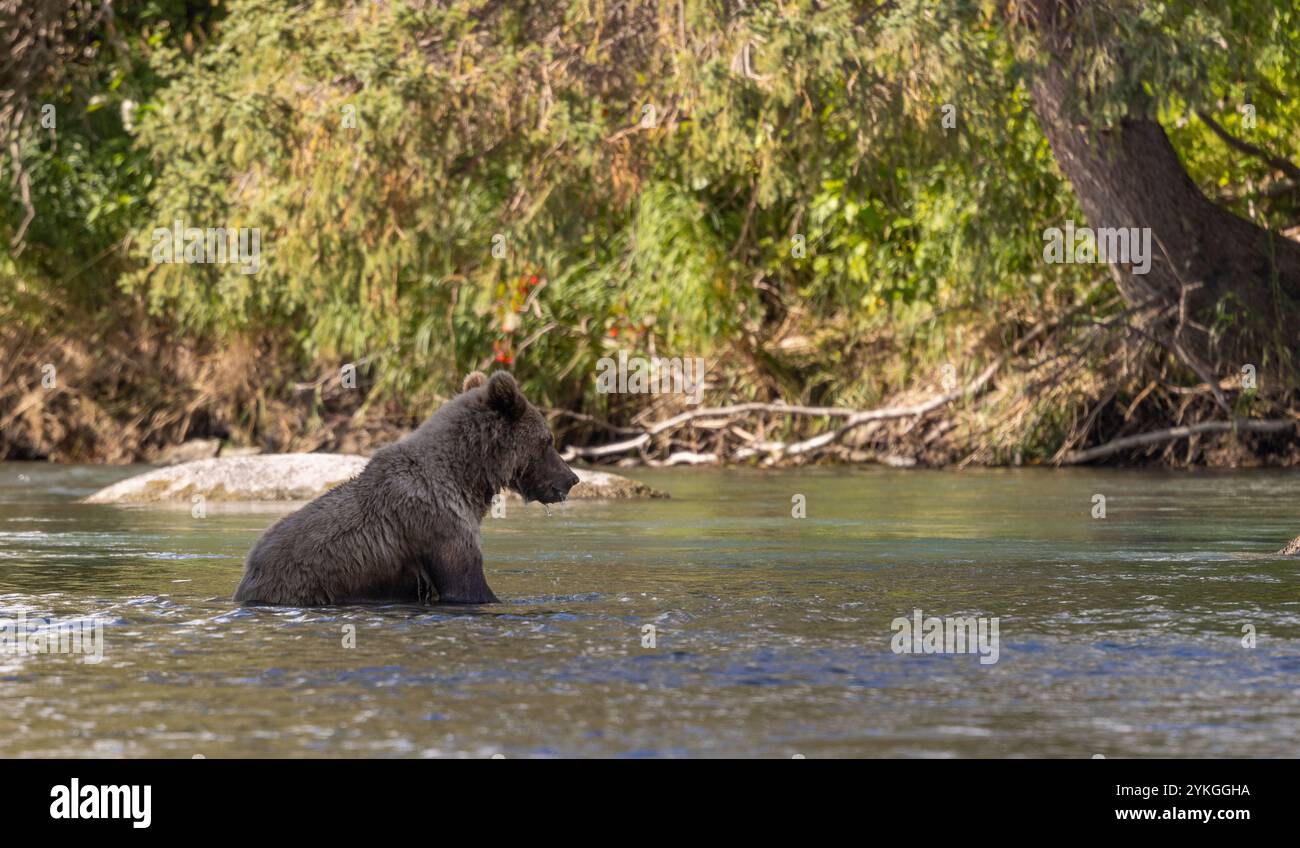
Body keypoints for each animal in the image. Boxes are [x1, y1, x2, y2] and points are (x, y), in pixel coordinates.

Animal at [233, 370, 579, 606]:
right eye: (548, 440)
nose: (572, 478)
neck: (465, 478)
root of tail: (247, 578)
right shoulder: (441, 527)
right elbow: (466, 585)